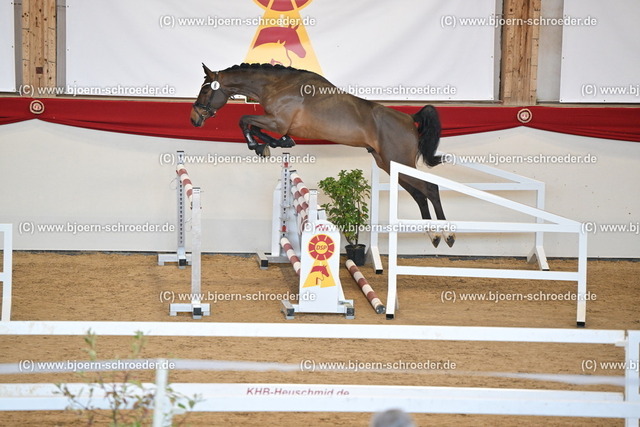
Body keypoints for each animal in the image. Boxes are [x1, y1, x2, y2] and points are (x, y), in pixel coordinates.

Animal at [190, 63, 454, 248]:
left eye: (205, 90)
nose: (194, 119)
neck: (277, 86)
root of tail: (409, 118)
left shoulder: (277, 122)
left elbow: (244, 120)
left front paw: (259, 145)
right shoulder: (275, 123)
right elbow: (255, 126)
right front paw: (272, 144)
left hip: (397, 160)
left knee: (430, 189)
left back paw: (448, 234)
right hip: (388, 164)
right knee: (419, 194)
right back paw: (433, 236)